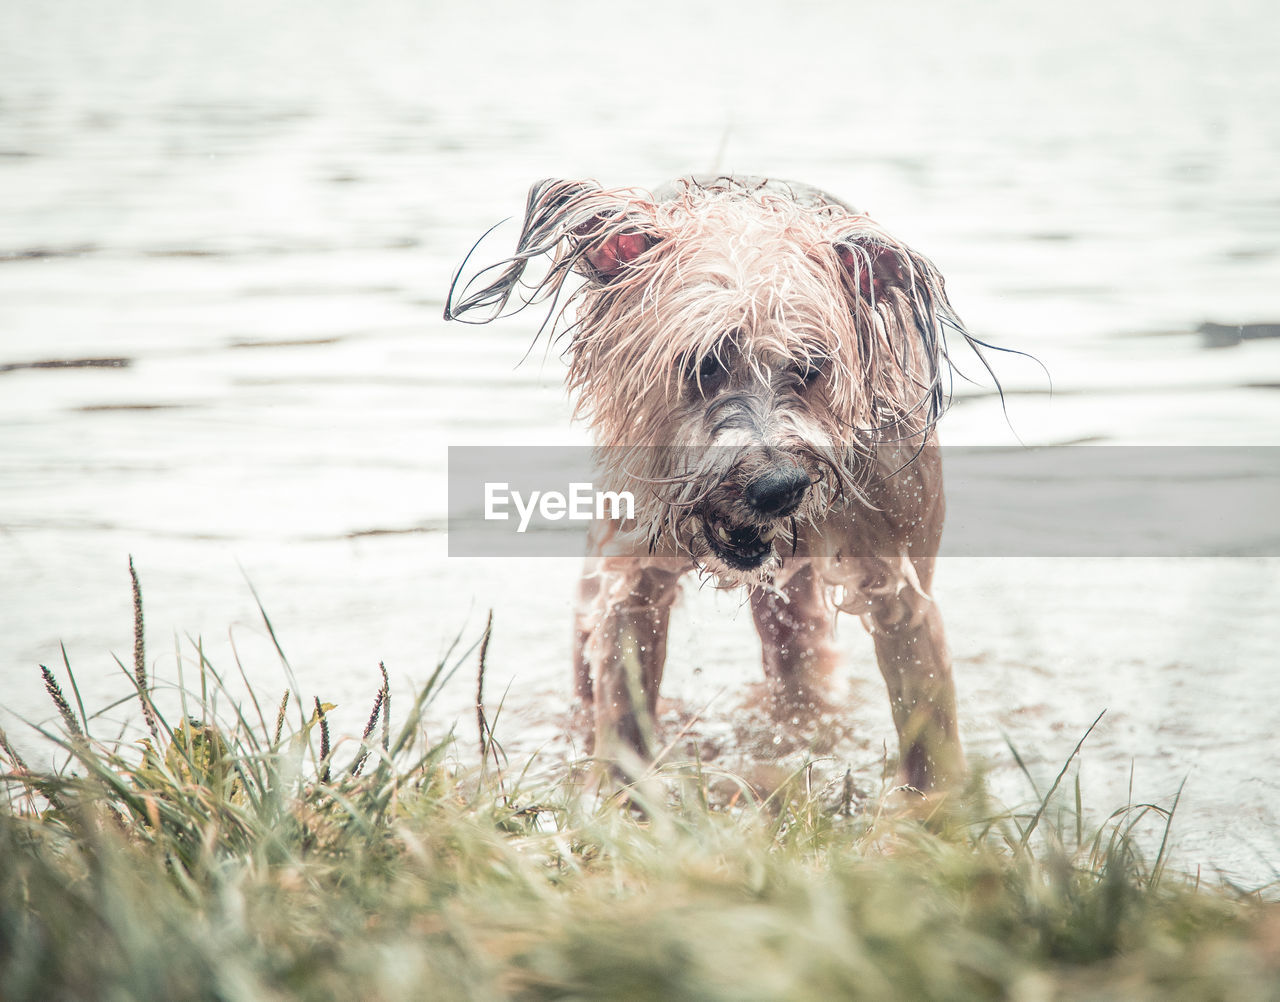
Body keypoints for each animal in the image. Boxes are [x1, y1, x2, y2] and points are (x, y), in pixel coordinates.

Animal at [445, 176, 993, 793]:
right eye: (703, 363)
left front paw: (932, 806)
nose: (779, 487)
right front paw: (622, 798)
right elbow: (625, 705)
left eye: (811, 368)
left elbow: (926, 715)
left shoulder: (900, 578)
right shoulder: (632, 570)